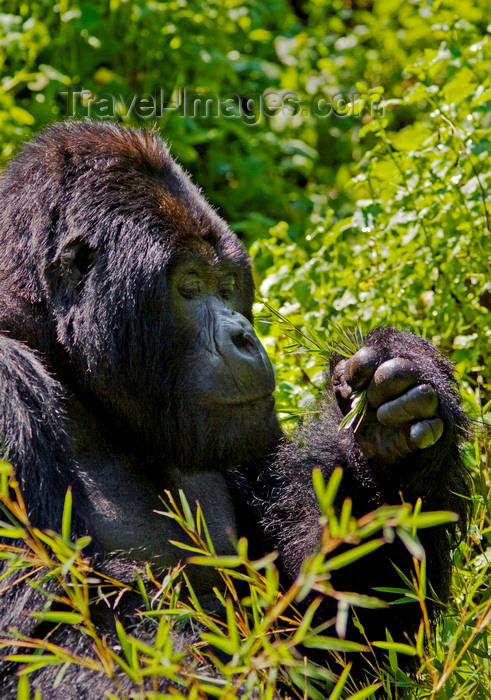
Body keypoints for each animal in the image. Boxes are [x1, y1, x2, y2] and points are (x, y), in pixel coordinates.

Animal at [0, 120, 470, 696]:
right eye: (189, 285)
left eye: (227, 286)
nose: (245, 336)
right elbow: (48, 634)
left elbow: (332, 636)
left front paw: (393, 442)